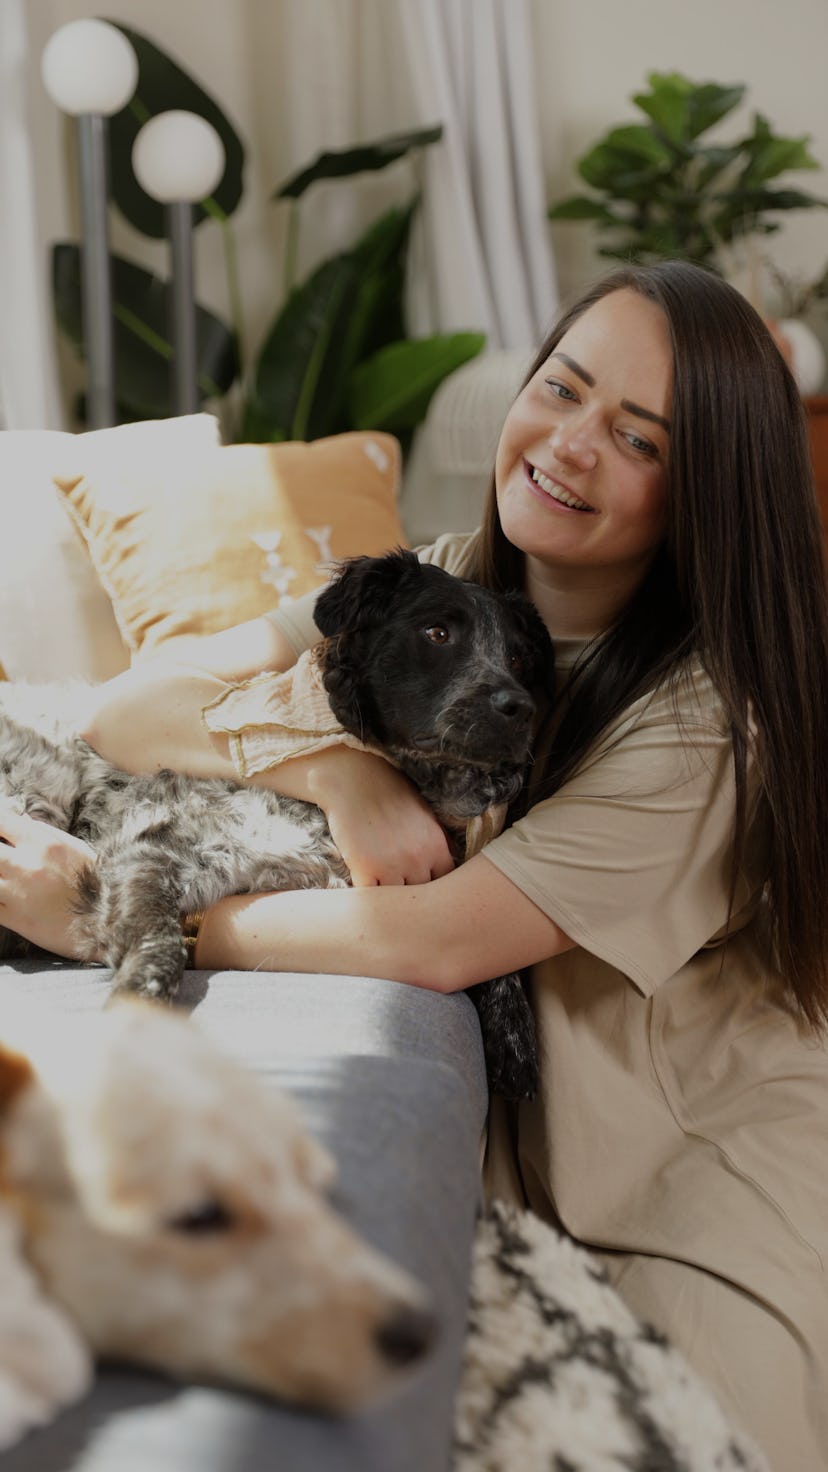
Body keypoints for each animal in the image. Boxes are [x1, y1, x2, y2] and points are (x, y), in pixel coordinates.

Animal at [1, 553, 553, 1106]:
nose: (520, 709)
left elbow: (493, 957)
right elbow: (161, 947)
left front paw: (513, 1038)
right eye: (437, 633)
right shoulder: (151, 849)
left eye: (519, 658)